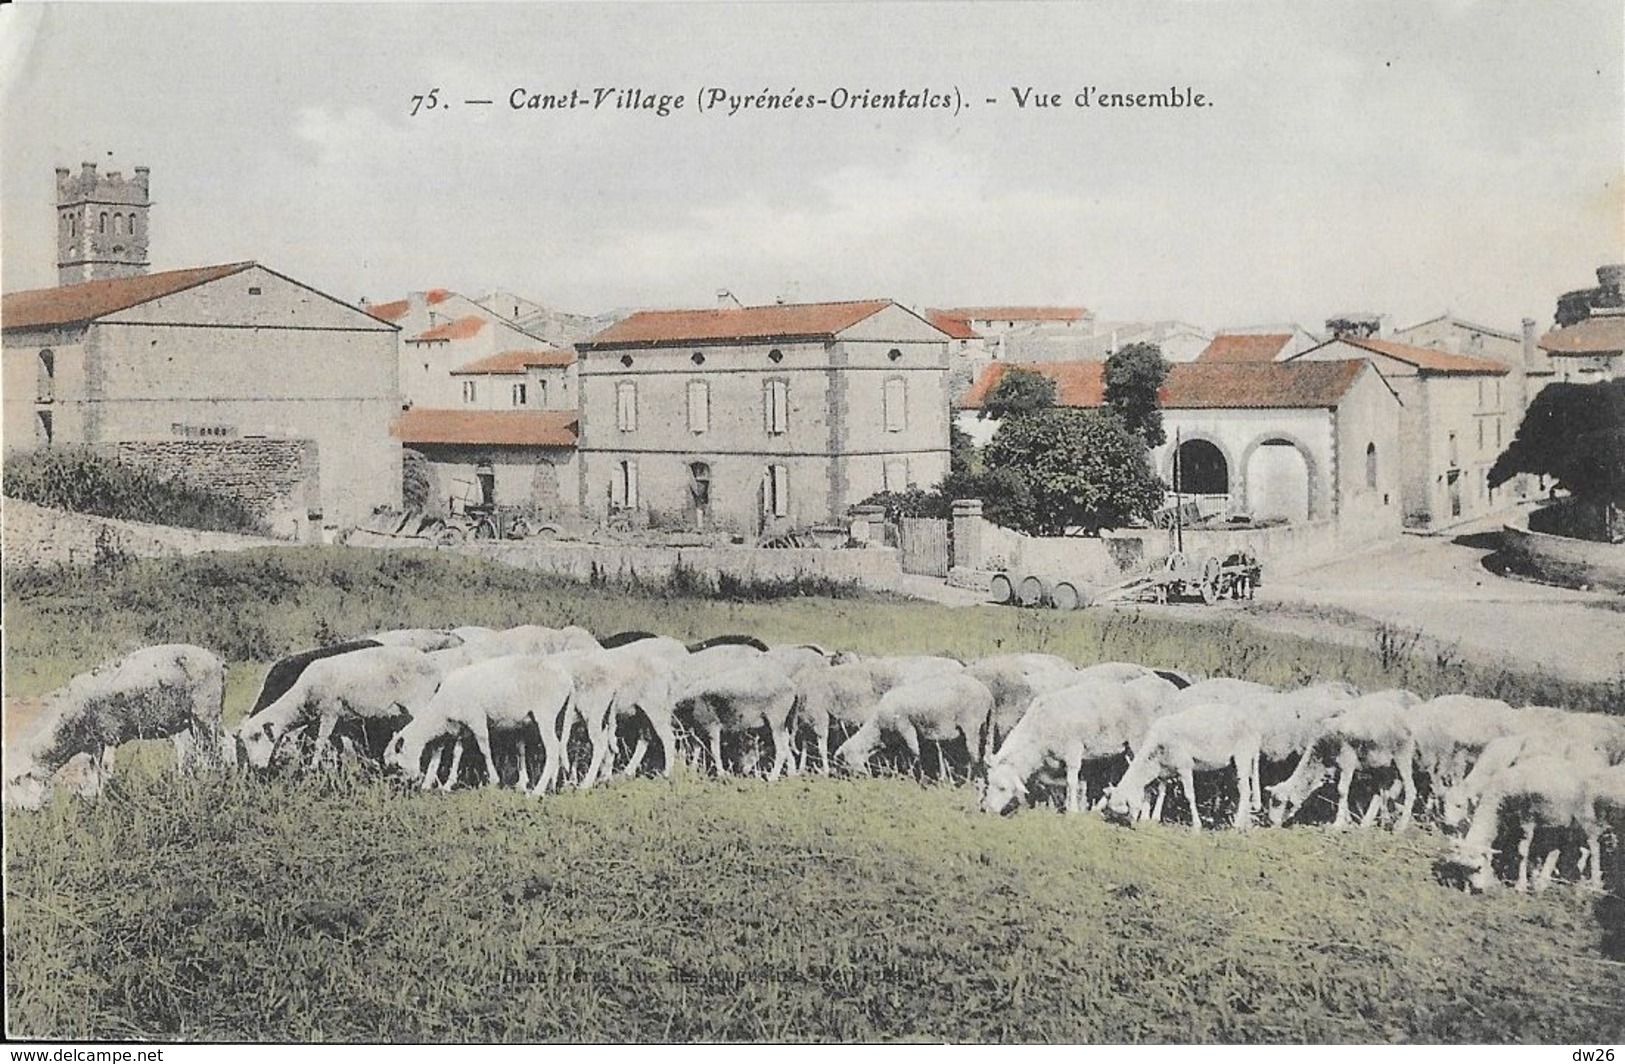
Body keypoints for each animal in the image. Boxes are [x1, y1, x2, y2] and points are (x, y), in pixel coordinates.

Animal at [3, 646, 225, 812]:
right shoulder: (94, 745)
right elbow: (94, 775)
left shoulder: (107, 737)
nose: (20, 810)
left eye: (15, 782)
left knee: (217, 750)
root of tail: (218, 661)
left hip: (206, 713)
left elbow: (103, 774)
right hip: (189, 722)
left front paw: (101, 803)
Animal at [1098, 705, 1261, 838]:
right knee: (1241, 790)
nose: (1132, 825)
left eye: (1125, 807)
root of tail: (1253, 726)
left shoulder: (1184, 766)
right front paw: (1154, 818)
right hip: (1234, 763)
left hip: (1242, 756)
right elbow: (1162, 791)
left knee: (1245, 791)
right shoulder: (1164, 770)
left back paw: (1236, 826)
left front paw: (1196, 826)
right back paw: (1244, 824)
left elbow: (1189, 795)